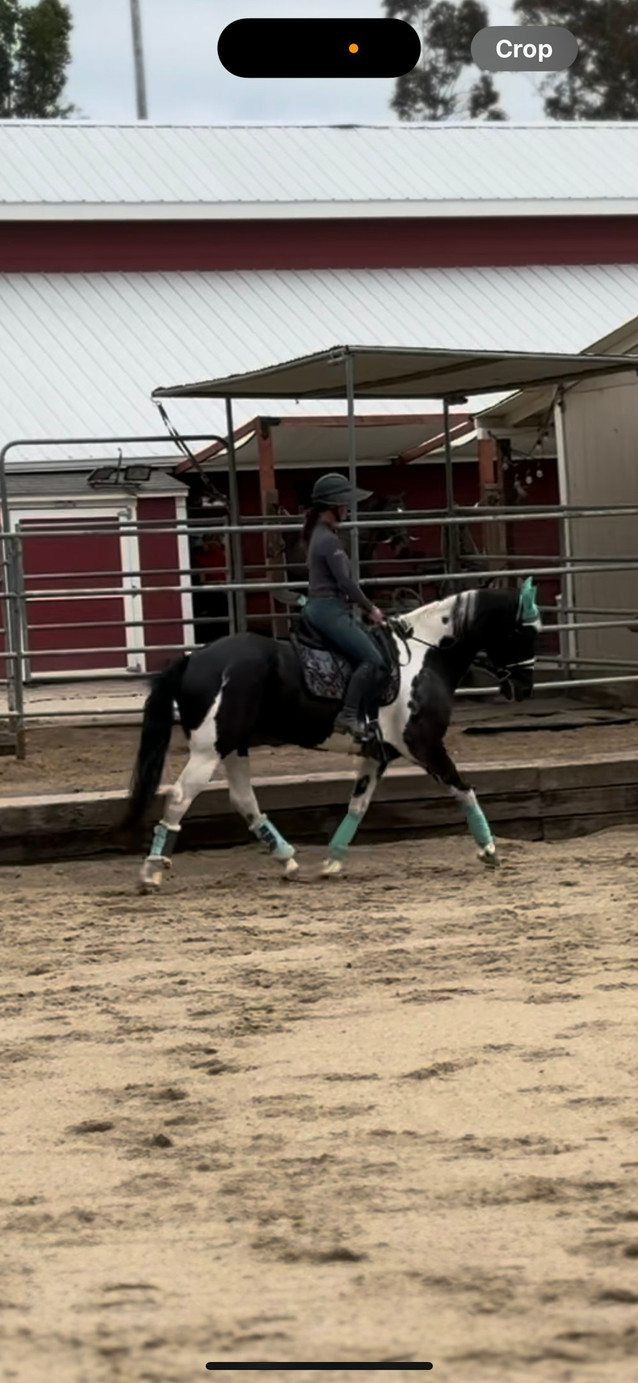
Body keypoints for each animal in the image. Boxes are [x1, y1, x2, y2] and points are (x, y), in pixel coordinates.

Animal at [121, 579, 541, 892]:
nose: (523, 687)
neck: (425, 657)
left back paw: (287, 859)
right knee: (180, 797)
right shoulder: (423, 745)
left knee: (242, 798)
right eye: (524, 631)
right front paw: (489, 850)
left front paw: (332, 861)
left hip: (233, 745)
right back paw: (151, 871)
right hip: (210, 749)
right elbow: (463, 788)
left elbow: (358, 806)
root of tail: (194, 658)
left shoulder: (376, 755)